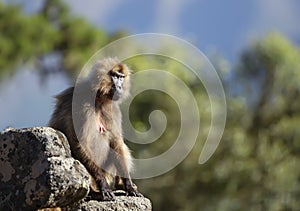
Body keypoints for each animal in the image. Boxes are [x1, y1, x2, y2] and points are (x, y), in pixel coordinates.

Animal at [48, 56, 142, 200]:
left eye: (122, 77)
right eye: (115, 76)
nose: (120, 86)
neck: (99, 97)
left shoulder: (113, 109)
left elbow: (116, 143)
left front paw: (128, 185)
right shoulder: (82, 104)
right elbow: (81, 142)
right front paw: (104, 186)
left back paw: (119, 184)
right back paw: (94, 192)